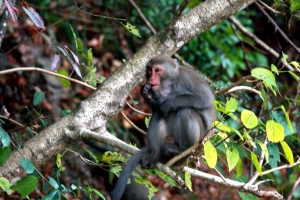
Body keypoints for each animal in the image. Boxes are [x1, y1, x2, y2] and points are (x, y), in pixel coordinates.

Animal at [110, 55, 216, 200]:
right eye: (149, 70)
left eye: (157, 70)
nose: (150, 79)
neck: (168, 86)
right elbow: (156, 109)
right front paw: (145, 92)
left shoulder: (187, 77)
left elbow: (204, 98)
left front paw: (168, 103)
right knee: (158, 114)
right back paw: (154, 155)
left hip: (199, 141)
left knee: (186, 111)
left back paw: (182, 149)